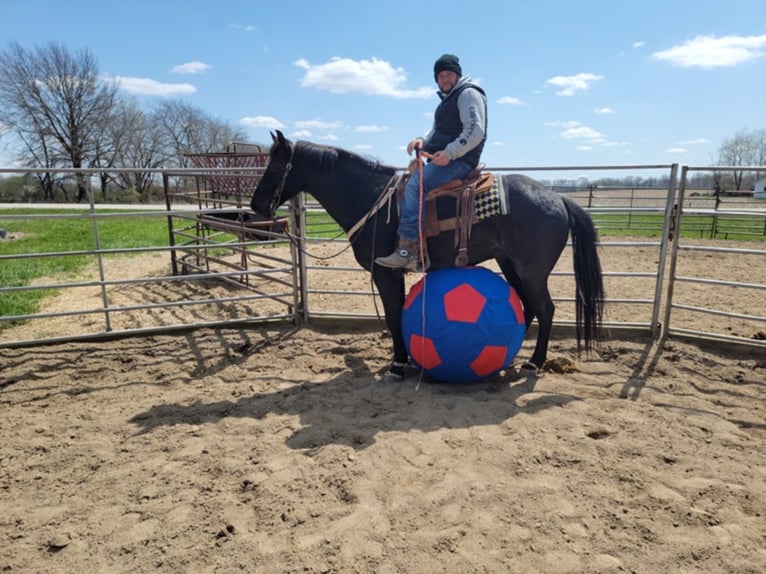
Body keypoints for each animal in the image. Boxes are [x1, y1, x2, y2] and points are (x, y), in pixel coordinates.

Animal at [252, 131, 608, 382]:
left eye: (275, 166)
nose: (256, 205)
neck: (370, 199)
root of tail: (559, 199)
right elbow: (396, 316)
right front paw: (405, 360)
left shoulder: (385, 273)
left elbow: (393, 316)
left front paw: (397, 365)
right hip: (510, 265)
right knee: (526, 306)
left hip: (532, 270)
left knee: (545, 309)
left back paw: (534, 362)